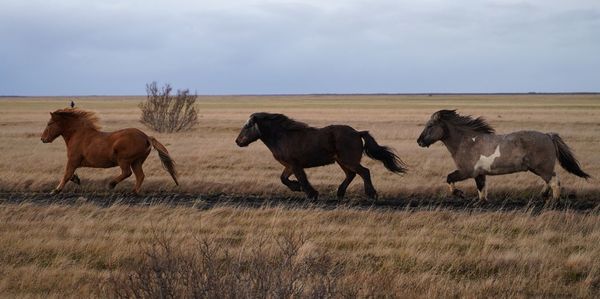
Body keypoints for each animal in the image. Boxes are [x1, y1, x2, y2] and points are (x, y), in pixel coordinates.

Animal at [41, 109, 178, 196]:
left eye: (49, 123)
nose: (43, 139)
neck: (78, 135)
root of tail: (146, 137)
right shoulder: (76, 162)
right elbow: (70, 175)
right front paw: (76, 179)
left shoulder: (73, 160)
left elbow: (66, 175)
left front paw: (55, 191)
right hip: (137, 161)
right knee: (140, 176)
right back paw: (133, 192)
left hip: (124, 160)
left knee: (127, 173)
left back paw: (111, 184)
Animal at [234, 112, 408, 199]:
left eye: (247, 126)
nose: (237, 141)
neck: (283, 136)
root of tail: (358, 133)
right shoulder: (289, 166)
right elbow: (283, 179)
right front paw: (297, 188)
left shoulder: (295, 165)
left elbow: (302, 179)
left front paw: (311, 194)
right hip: (342, 162)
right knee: (351, 175)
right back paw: (340, 193)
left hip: (348, 160)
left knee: (364, 172)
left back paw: (371, 194)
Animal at [418, 110, 592, 202]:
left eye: (430, 125)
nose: (419, 141)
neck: (466, 142)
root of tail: (548, 136)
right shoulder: (480, 174)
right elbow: (482, 191)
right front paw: (481, 203)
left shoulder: (467, 172)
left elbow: (449, 178)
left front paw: (459, 193)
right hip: (540, 169)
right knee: (550, 182)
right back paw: (543, 195)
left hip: (543, 168)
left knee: (555, 182)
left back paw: (554, 202)